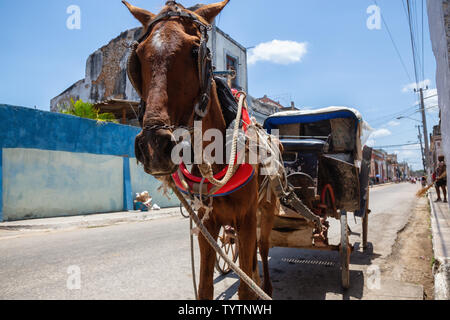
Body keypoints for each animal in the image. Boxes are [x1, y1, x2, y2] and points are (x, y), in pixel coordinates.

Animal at [123, 0, 278, 300]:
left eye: (196, 51)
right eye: (139, 55)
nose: (154, 146)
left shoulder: (247, 219)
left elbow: (246, 288)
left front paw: (254, 287)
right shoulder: (208, 223)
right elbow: (205, 286)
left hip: (266, 211)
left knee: (264, 249)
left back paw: (265, 285)